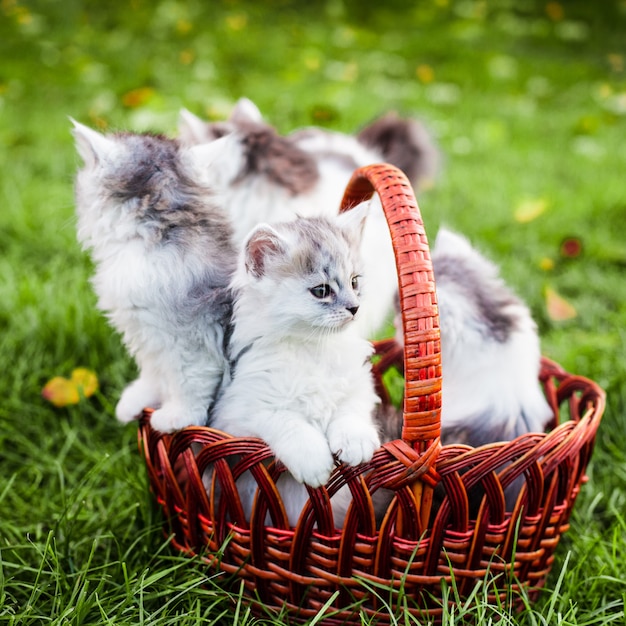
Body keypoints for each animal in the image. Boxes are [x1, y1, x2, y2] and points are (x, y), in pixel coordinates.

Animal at [71, 120, 236, 432]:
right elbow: (153, 372)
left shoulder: (190, 335)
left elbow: (188, 381)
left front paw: (177, 417)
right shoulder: (144, 331)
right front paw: (138, 401)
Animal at [210, 202, 378, 524]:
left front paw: (356, 441)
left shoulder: (359, 387)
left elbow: (350, 410)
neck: (313, 348)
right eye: (322, 291)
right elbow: (285, 420)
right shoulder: (236, 415)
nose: (355, 307)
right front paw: (314, 460)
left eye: (355, 282)